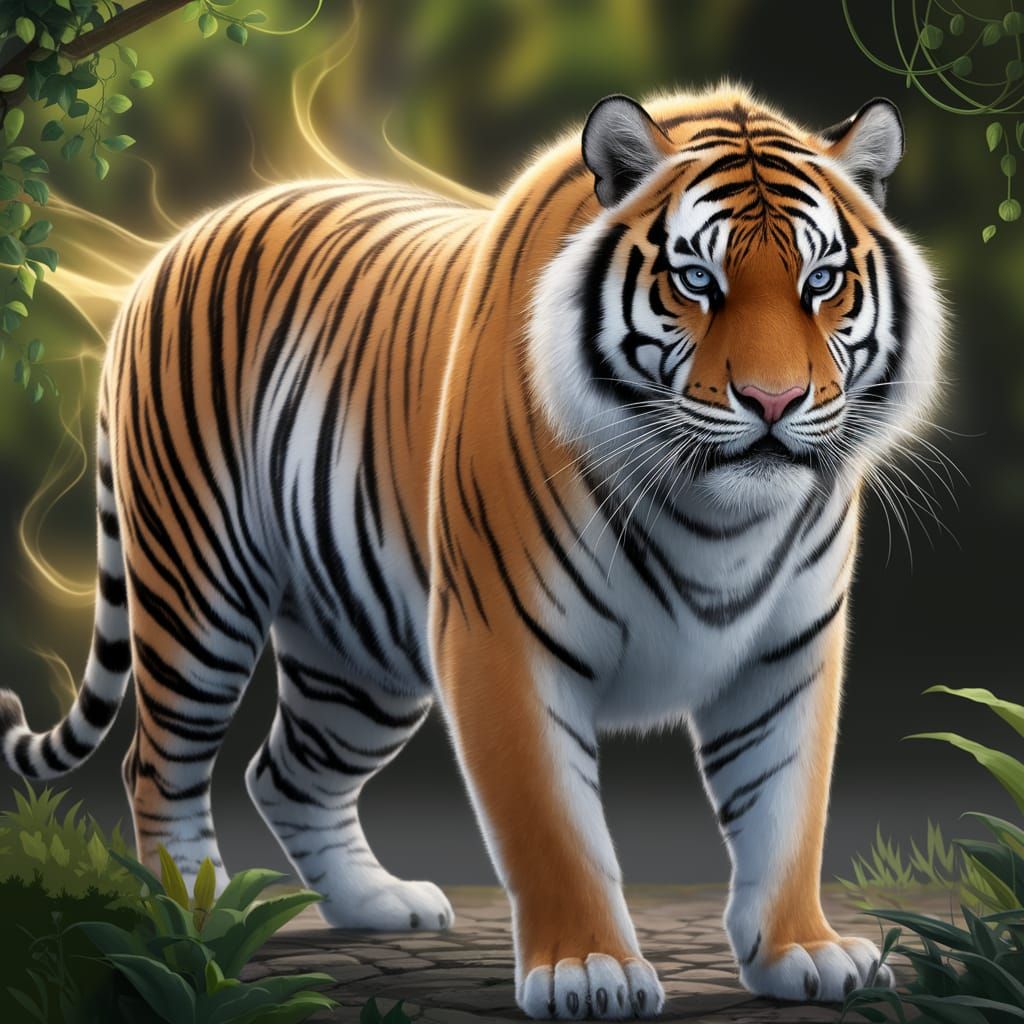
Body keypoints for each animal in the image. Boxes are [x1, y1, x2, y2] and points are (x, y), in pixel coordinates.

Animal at [0, 83, 943, 1019]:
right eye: (695, 281)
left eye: (821, 281)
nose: (775, 400)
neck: (718, 520)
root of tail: (175, 243)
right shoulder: (505, 641)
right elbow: (552, 826)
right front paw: (588, 971)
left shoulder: (789, 655)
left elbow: (787, 812)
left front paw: (803, 952)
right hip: (198, 596)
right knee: (157, 765)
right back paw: (194, 917)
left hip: (360, 657)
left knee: (285, 772)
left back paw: (376, 903)